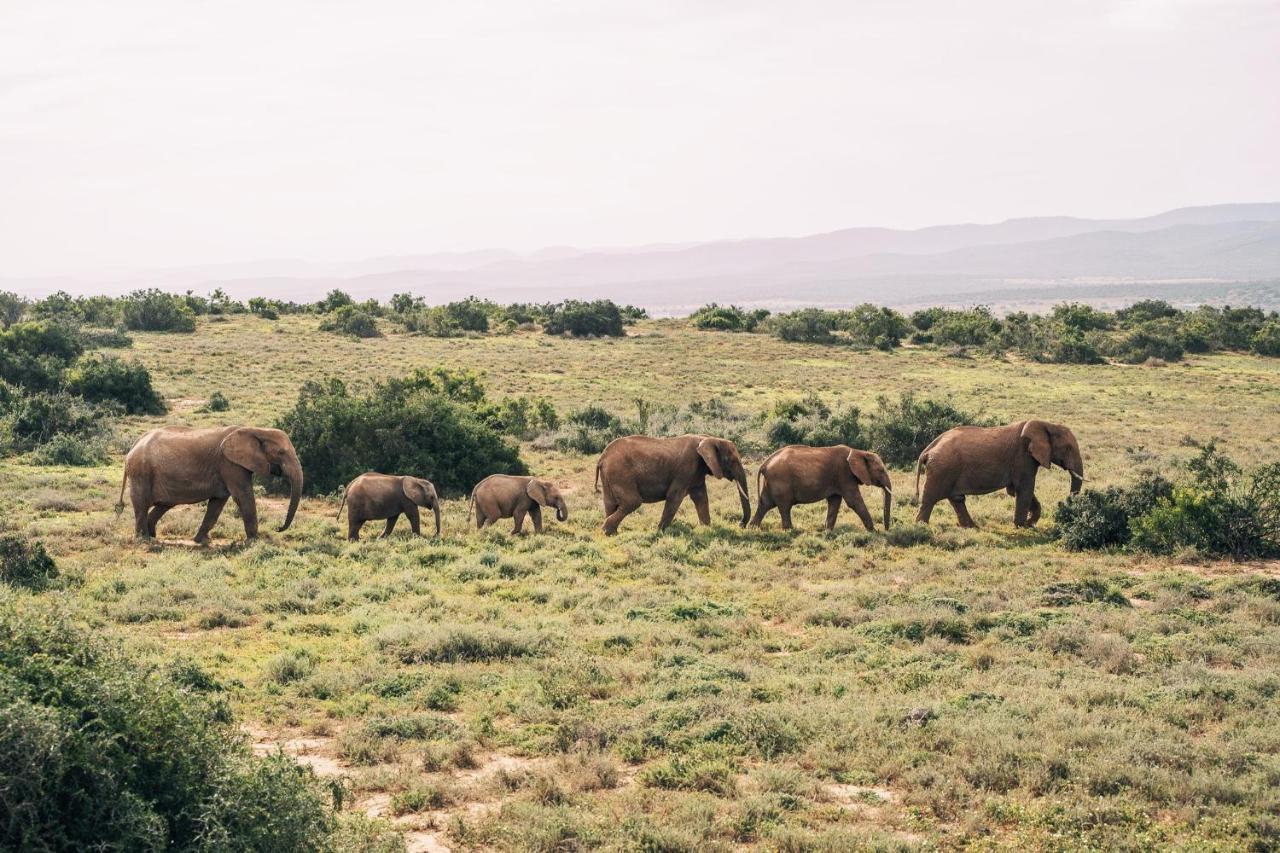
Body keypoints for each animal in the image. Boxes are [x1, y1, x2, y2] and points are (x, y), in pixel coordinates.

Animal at [117, 422, 302, 540]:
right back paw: (144, 540)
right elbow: (243, 496)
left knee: (163, 505)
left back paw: (153, 536)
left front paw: (201, 541)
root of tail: (135, 444)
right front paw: (255, 541)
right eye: (281, 452)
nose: (278, 528)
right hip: (141, 472)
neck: (256, 430)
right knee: (141, 504)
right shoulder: (229, 464)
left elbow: (217, 503)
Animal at [596, 432, 747, 532]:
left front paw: (706, 529)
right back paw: (605, 530)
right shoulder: (686, 469)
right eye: (733, 461)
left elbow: (701, 498)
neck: (707, 438)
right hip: (621, 473)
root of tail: (602, 457)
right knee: (632, 502)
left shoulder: (697, 473)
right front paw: (660, 531)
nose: (740, 525)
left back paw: (611, 533)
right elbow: (674, 496)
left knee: (610, 503)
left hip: (610, 475)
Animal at [747, 440, 896, 527]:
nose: (886, 529)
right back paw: (790, 531)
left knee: (765, 504)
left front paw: (828, 531)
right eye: (880, 470)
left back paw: (753, 528)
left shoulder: (838, 479)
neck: (858, 451)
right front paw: (874, 532)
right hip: (781, 481)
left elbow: (834, 502)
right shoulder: (844, 474)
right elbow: (854, 501)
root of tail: (765, 463)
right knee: (784, 506)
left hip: (772, 482)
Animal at [916, 417, 1085, 525]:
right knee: (930, 498)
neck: (1047, 424)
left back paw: (971, 527)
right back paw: (921, 527)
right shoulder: (1022, 457)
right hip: (942, 469)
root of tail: (928, 449)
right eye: (1068, 448)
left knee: (957, 499)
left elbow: (1015, 490)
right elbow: (1024, 489)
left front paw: (1030, 523)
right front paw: (1021, 525)